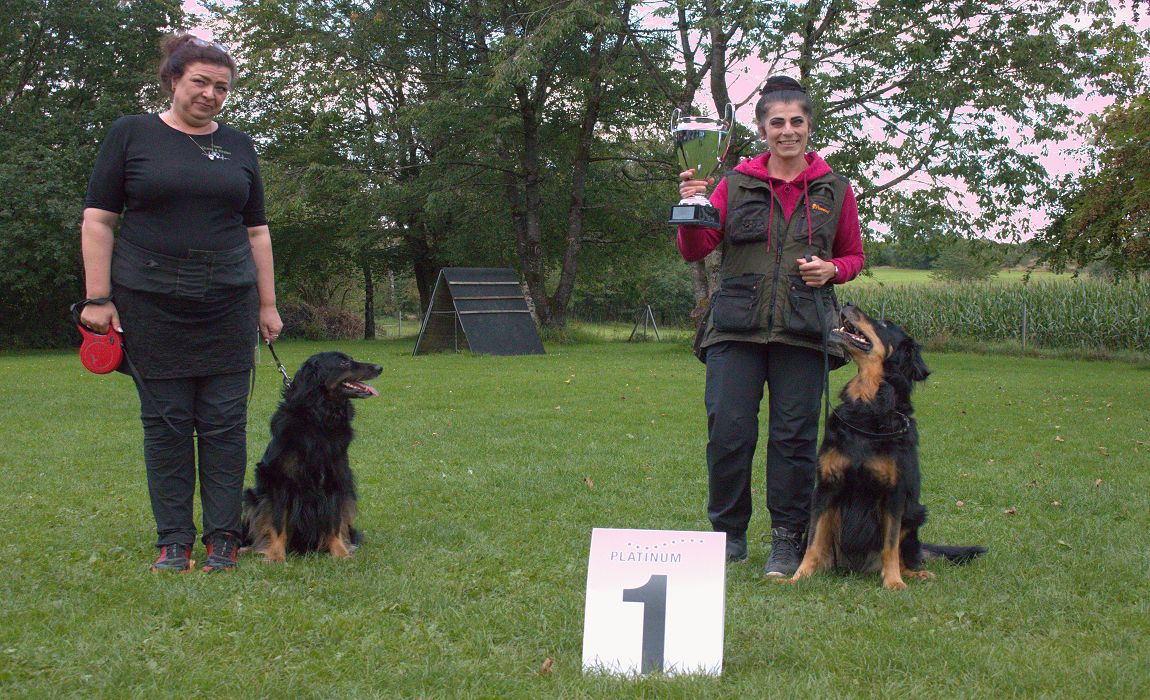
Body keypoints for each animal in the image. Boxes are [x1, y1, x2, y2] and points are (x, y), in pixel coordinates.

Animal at [240, 351, 384, 558]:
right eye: (343, 362)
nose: (379, 368)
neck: (320, 418)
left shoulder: (336, 479)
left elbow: (334, 521)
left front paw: (340, 553)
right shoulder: (278, 480)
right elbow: (276, 521)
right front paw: (275, 555)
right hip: (252, 496)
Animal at [791, 305, 989, 588]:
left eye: (885, 324)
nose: (847, 303)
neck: (869, 407)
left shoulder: (894, 494)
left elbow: (890, 545)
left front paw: (894, 582)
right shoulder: (827, 487)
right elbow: (813, 543)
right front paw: (798, 576)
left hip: (915, 513)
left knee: (908, 555)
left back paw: (915, 573)